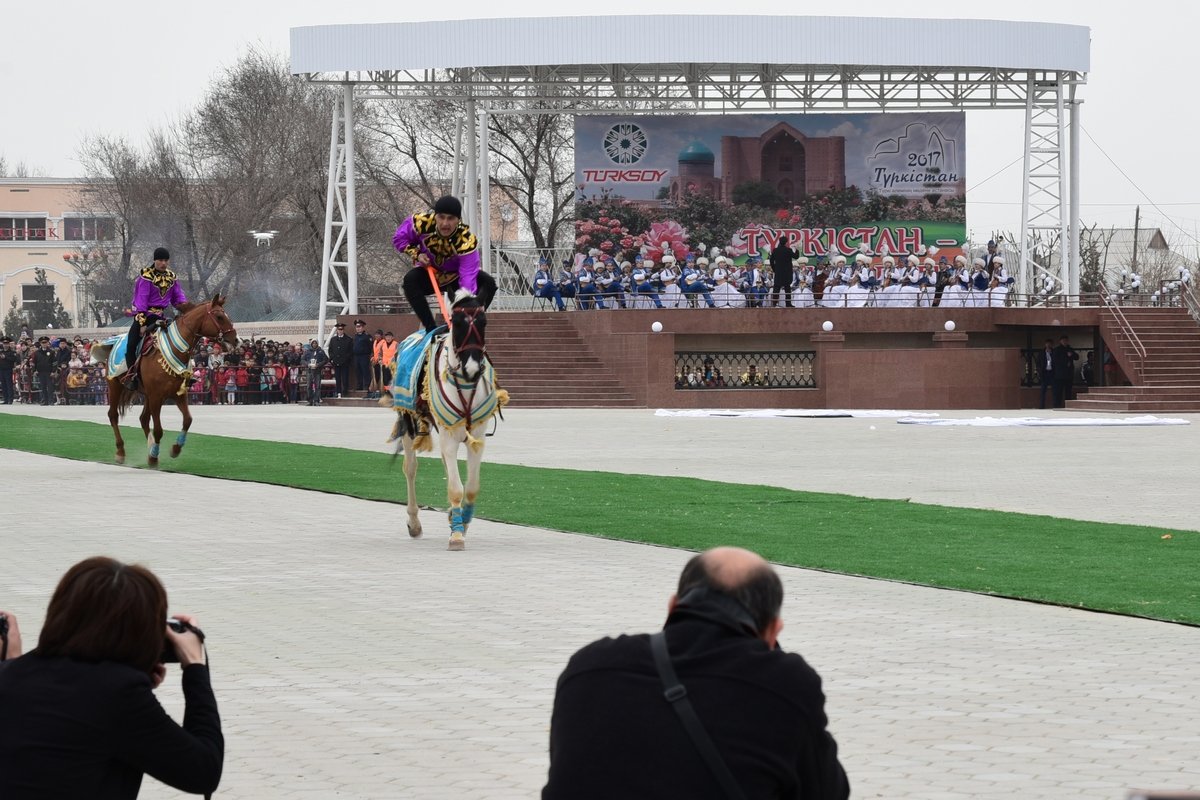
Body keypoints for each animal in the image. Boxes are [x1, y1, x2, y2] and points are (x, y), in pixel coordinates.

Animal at [93, 297, 236, 465]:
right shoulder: (156, 396)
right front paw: (154, 456)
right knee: (113, 415)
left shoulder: (178, 395)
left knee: (143, 419)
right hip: (115, 386)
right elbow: (159, 430)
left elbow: (187, 420)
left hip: (146, 394)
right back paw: (121, 451)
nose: (235, 339)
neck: (174, 350)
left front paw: (175, 449)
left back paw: (149, 448)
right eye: (219, 317)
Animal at [391, 292, 508, 551]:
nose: (472, 368)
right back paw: (414, 523)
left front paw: (461, 522)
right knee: (410, 468)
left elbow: (471, 488)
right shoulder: (449, 435)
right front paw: (456, 536)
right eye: (457, 323)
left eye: (484, 322)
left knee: (445, 463)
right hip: (410, 423)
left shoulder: (478, 437)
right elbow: (455, 488)